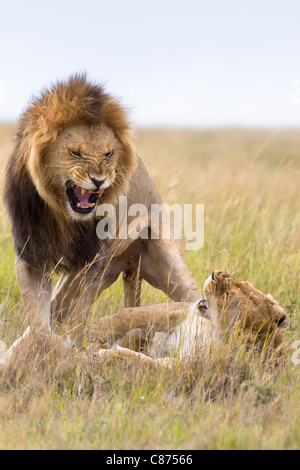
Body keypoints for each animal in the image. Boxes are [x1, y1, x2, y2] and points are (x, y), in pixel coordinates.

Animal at [3, 73, 200, 346]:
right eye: (75, 152)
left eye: (108, 154)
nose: (99, 180)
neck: (64, 217)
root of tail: (132, 264)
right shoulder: (30, 257)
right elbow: (39, 322)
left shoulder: (90, 264)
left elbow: (75, 317)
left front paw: (74, 347)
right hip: (109, 271)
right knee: (58, 307)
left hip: (169, 264)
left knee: (199, 298)